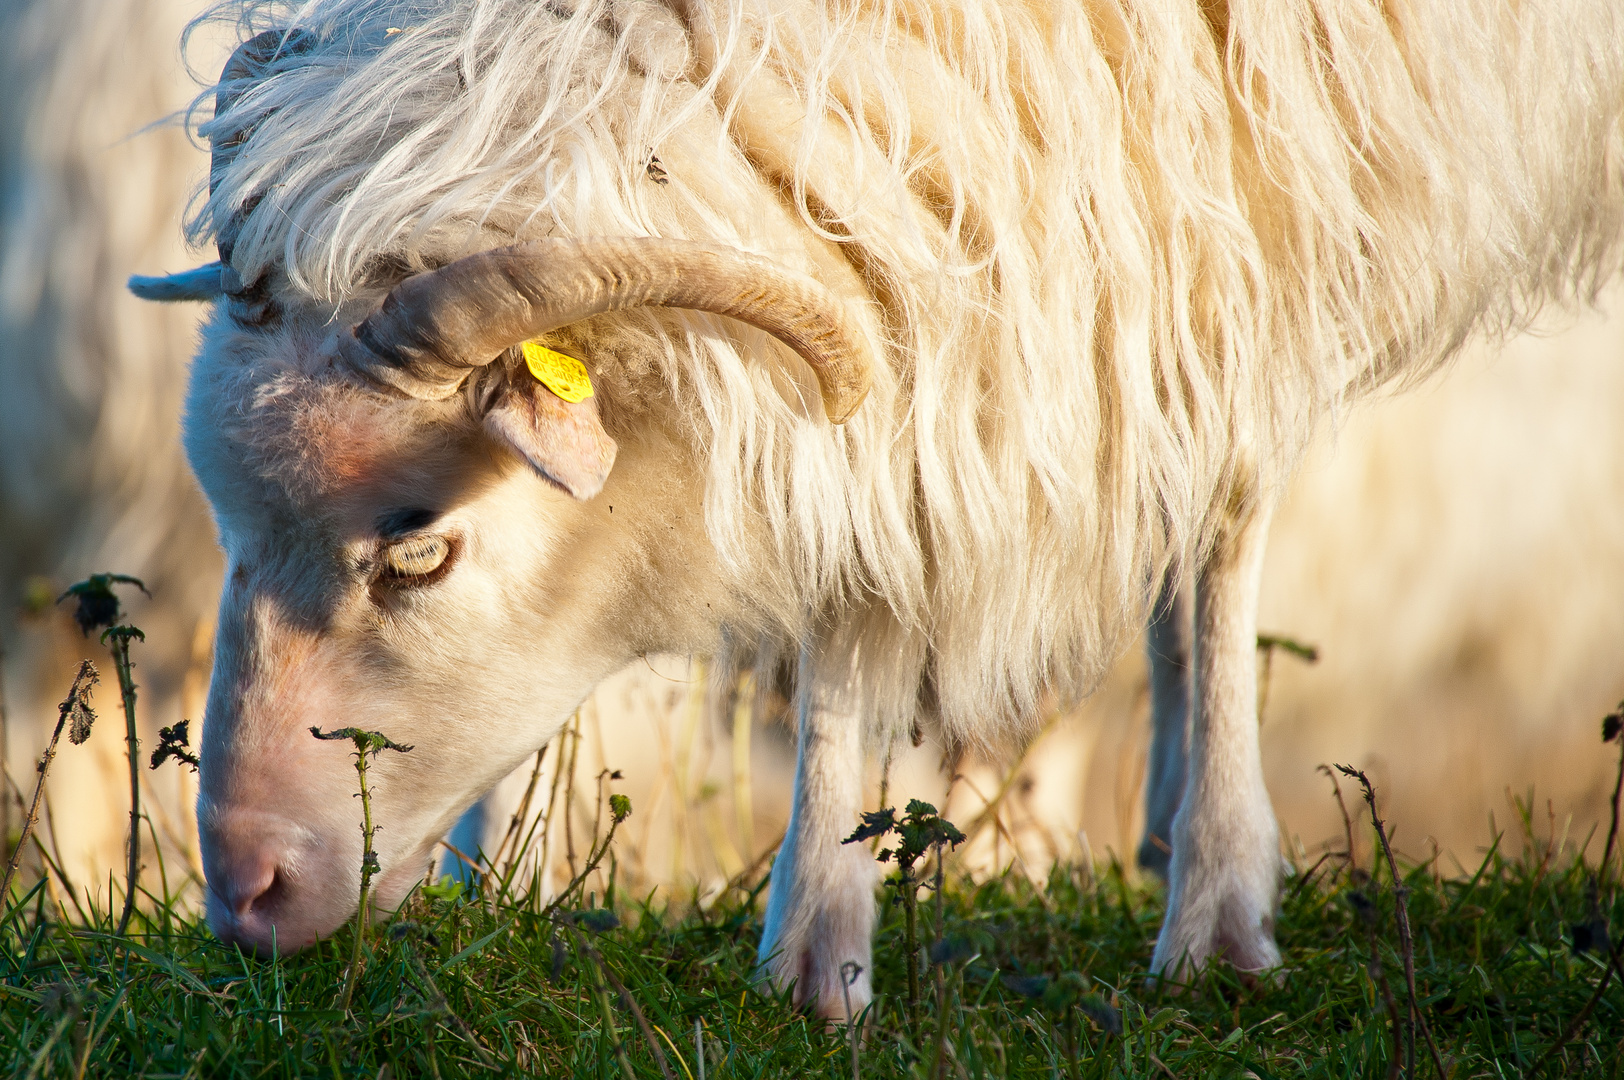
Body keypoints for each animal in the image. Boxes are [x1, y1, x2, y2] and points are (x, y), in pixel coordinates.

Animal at [129, 0, 1624, 1013]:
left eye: (421, 552)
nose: (246, 896)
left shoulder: (1235, 197)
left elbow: (1217, 525)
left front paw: (1214, 921)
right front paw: (811, 938)